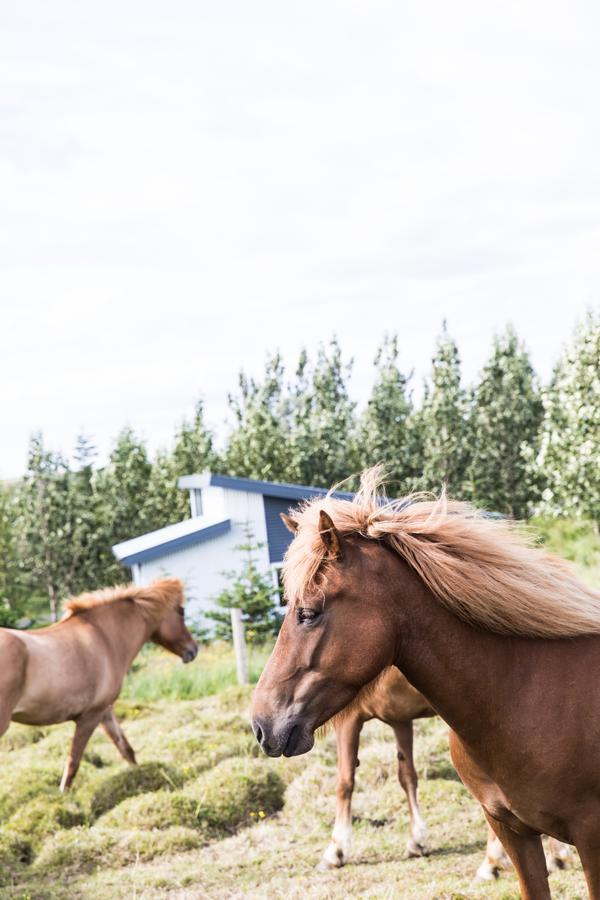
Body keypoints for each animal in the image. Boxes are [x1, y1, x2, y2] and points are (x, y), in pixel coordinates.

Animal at [0, 580, 198, 792]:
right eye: (181, 612)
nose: (193, 649)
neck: (104, 637)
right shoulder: (89, 717)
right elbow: (73, 763)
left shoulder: (105, 711)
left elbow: (125, 748)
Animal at [253, 472, 600, 900]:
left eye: (308, 613)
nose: (261, 724)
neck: (522, 695)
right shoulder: (512, 830)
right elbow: (403, 774)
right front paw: (414, 841)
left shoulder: (592, 840)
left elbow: (346, 780)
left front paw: (337, 849)